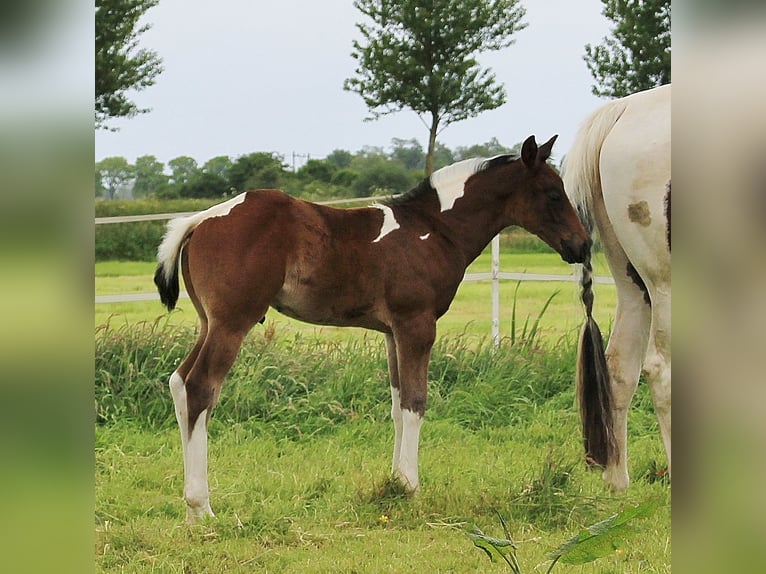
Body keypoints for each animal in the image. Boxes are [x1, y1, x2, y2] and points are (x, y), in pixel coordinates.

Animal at [154, 135, 588, 520]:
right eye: (553, 193)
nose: (581, 246)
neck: (433, 229)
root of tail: (200, 220)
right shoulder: (417, 324)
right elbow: (416, 401)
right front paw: (411, 486)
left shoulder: (393, 332)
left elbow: (397, 405)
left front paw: (394, 483)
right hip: (232, 323)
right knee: (201, 387)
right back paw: (201, 506)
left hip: (209, 322)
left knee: (179, 382)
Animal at [564, 83, 672, 492]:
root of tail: (621, 112)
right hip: (664, 282)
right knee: (661, 371)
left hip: (633, 283)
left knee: (619, 366)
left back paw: (617, 480)